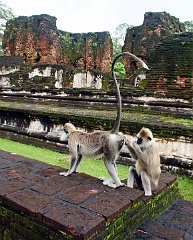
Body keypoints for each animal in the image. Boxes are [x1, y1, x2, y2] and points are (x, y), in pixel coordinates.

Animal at [59, 52, 149, 188]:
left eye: (63, 130)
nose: (60, 134)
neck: (74, 132)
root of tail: (112, 133)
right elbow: (79, 157)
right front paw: (74, 171)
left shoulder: (72, 139)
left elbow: (74, 156)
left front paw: (67, 173)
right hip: (117, 144)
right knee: (113, 162)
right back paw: (113, 181)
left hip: (110, 144)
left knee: (107, 161)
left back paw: (117, 184)